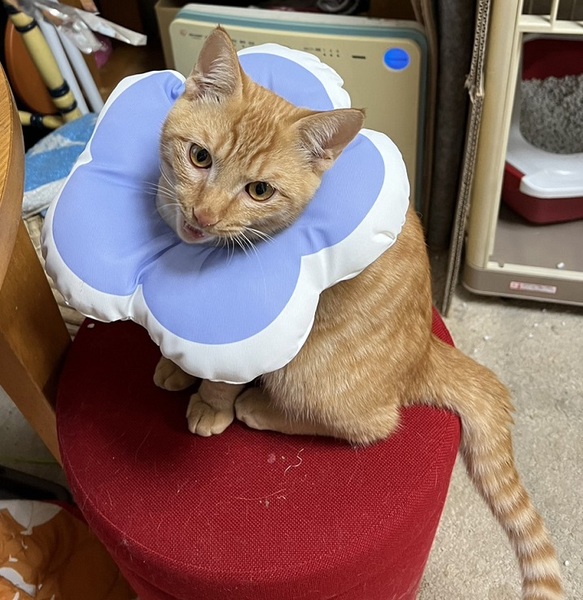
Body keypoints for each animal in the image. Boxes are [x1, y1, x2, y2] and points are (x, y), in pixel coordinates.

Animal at [154, 27, 563, 599]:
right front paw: (172, 366)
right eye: (198, 157)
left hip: (308, 372)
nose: (204, 215)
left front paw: (210, 403)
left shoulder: (251, 342)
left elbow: (221, 377)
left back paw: (259, 409)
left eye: (259, 190)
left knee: (370, 424)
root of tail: (426, 352)